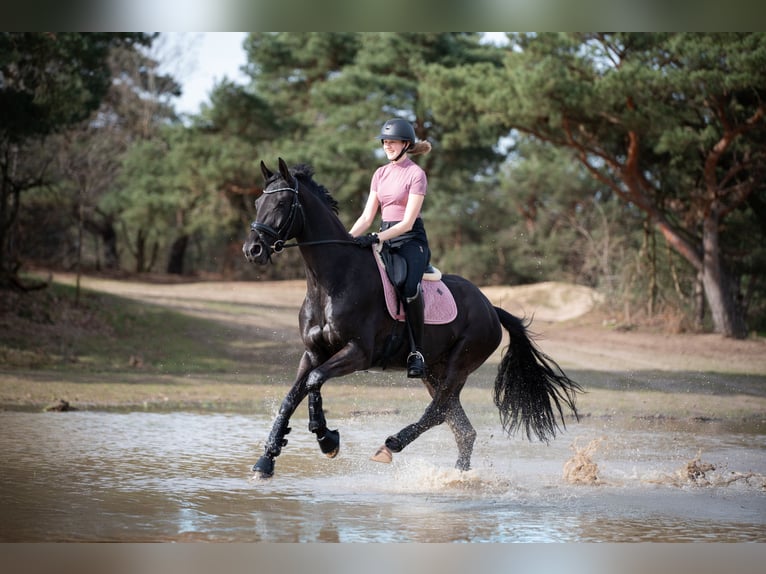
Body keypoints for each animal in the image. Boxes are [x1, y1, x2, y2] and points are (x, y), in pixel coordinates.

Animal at [243, 159, 580, 482]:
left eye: (283, 202)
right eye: (259, 201)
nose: (252, 250)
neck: (331, 282)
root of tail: (490, 308)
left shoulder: (357, 353)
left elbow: (314, 382)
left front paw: (327, 439)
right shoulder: (313, 353)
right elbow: (291, 398)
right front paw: (266, 460)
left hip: (459, 365)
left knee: (439, 411)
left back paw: (391, 445)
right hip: (434, 371)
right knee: (460, 427)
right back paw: (457, 476)